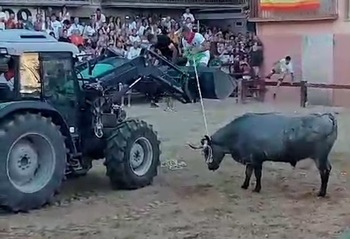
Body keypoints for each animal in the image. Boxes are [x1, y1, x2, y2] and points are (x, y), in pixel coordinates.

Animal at [190, 112, 338, 196]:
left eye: (207, 151)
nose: (210, 167)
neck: (238, 133)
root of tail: (326, 117)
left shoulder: (257, 159)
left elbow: (257, 174)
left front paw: (257, 189)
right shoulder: (249, 159)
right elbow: (248, 173)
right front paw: (244, 186)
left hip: (320, 157)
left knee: (324, 171)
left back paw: (321, 193)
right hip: (323, 157)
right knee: (328, 169)